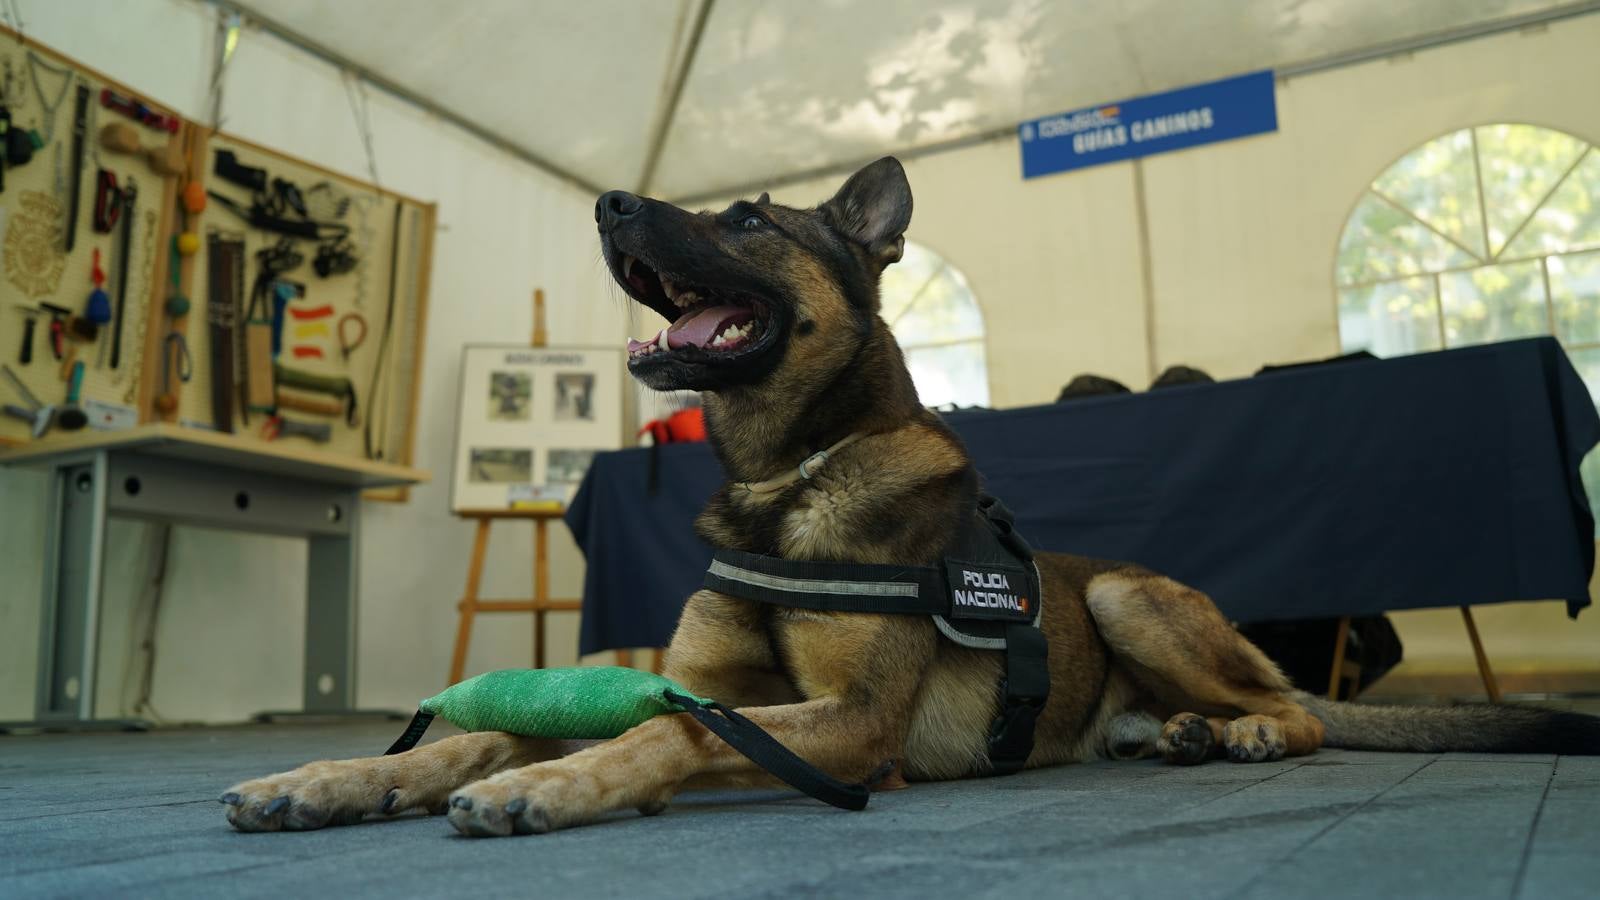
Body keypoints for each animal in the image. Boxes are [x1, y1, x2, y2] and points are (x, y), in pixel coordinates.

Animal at [222, 156, 1600, 832]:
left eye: (744, 220)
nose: (605, 204)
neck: (785, 479)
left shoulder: (846, 724)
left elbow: (657, 734)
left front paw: (545, 788)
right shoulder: (715, 686)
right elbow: (491, 729)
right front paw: (337, 778)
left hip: (1127, 598)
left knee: (1298, 708)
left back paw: (1245, 731)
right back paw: (1173, 734)